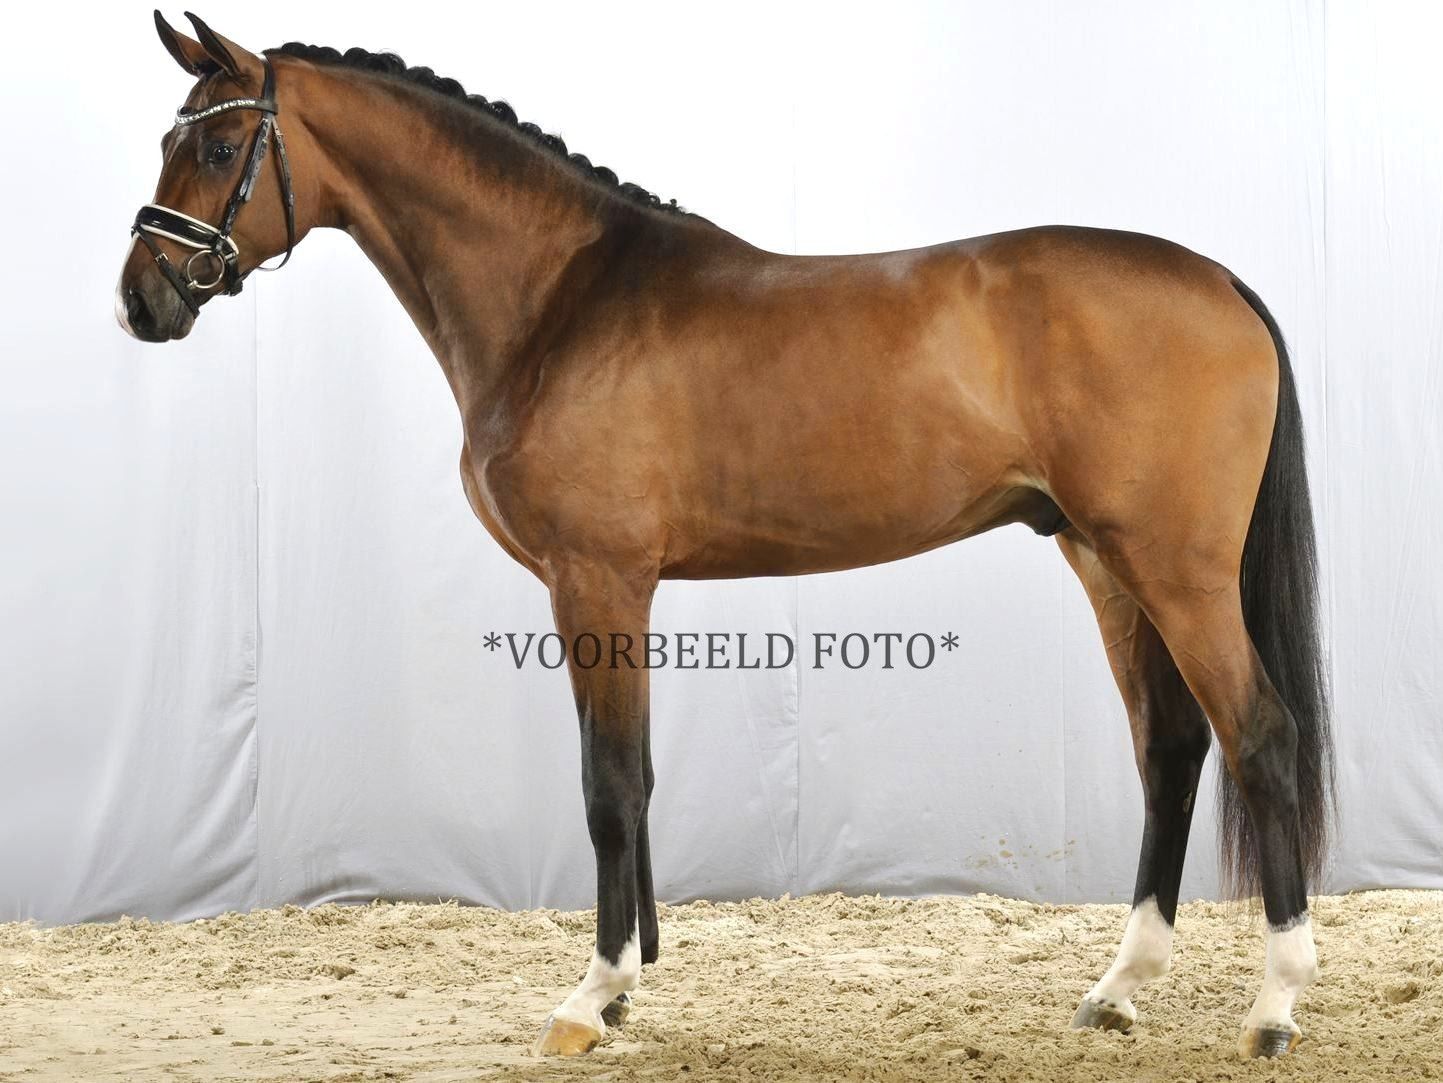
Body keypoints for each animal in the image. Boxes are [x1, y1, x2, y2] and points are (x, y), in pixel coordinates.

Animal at [116, 13, 1333, 1061]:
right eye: (173, 136)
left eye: (218, 142)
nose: (143, 299)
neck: (560, 302)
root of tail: (1219, 281)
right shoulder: (623, 590)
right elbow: (639, 777)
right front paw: (626, 986)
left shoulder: (597, 580)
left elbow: (608, 786)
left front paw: (591, 997)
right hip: (1103, 559)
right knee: (1171, 747)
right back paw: (1120, 988)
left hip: (1175, 570)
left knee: (1261, 737)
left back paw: (1273, 1005)